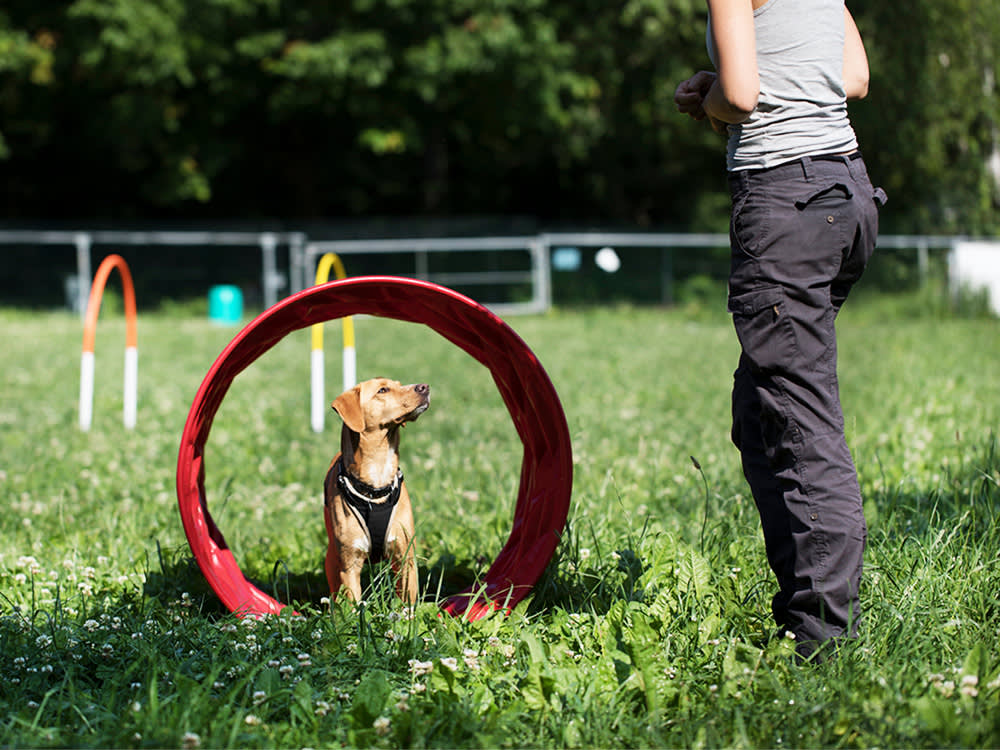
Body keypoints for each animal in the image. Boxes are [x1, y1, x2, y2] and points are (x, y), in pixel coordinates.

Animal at [322, 378, 428, 608]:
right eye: (382, 390)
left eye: (399, 383)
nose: (424, 387)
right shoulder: (349, 566)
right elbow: (352, 606)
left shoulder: (405, 557)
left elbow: (407, 602)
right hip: (332, 560)